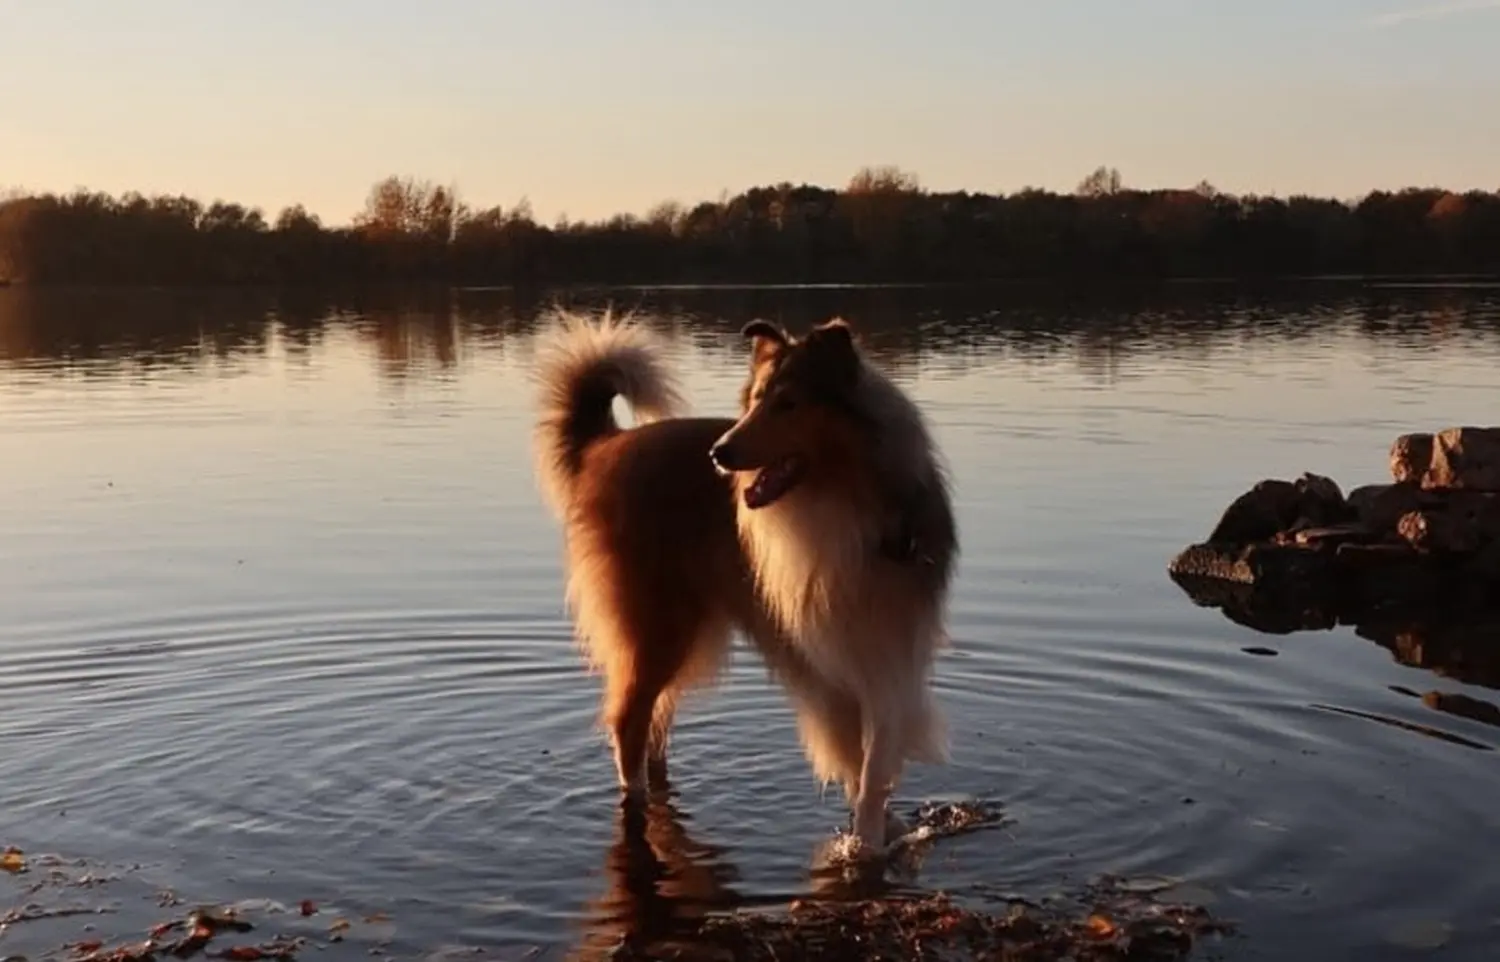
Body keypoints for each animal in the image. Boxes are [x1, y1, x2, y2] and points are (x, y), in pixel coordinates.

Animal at [534, 309, 960, 846]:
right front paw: (866, 836)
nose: (719, 453)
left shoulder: (891, 645)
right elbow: (855, 754)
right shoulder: (825, 651)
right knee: (629, 720)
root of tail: (607, 443)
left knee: (653, 723)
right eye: (756, 400)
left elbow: (876, 750)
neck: (848, 501)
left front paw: (879, 829)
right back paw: (635, 794)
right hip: (659, 624)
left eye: (788, 403)